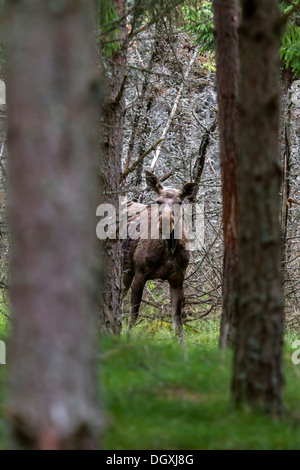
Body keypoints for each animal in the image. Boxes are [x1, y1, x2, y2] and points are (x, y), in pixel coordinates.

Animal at [122, 171, 199, 340]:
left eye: (180, 202)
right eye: (158, 201)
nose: (165, 222)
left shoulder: (178, 276)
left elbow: (177, 321)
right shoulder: (140, 272)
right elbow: (133, 315)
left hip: (126, 272)